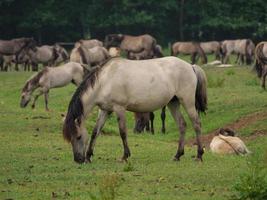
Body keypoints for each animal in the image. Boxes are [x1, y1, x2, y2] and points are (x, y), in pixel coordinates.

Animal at [63, 56, 209, 164]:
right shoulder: (105, 110)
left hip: (187, 102)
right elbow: (95, 132)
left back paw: (199, 155)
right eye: (70, 138)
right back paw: (177, 155)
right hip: (173, 103)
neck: (105, 81)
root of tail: (191, 66)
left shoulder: (119, 108)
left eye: (78, 136)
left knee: (196, 124)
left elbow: (122, 132)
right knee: (182, 125)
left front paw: (125, 156)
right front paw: (89, 156)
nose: (78, 159)